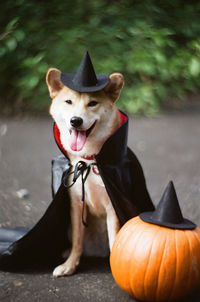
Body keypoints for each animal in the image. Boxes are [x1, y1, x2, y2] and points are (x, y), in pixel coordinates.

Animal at [46, 68, 124, 276]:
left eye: (93, 103)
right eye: (68, 102)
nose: (76, 120)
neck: (87, 160)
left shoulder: (112, 206)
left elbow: (115, 241)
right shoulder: (76, 205)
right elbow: (77, 242)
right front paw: (70, 265)